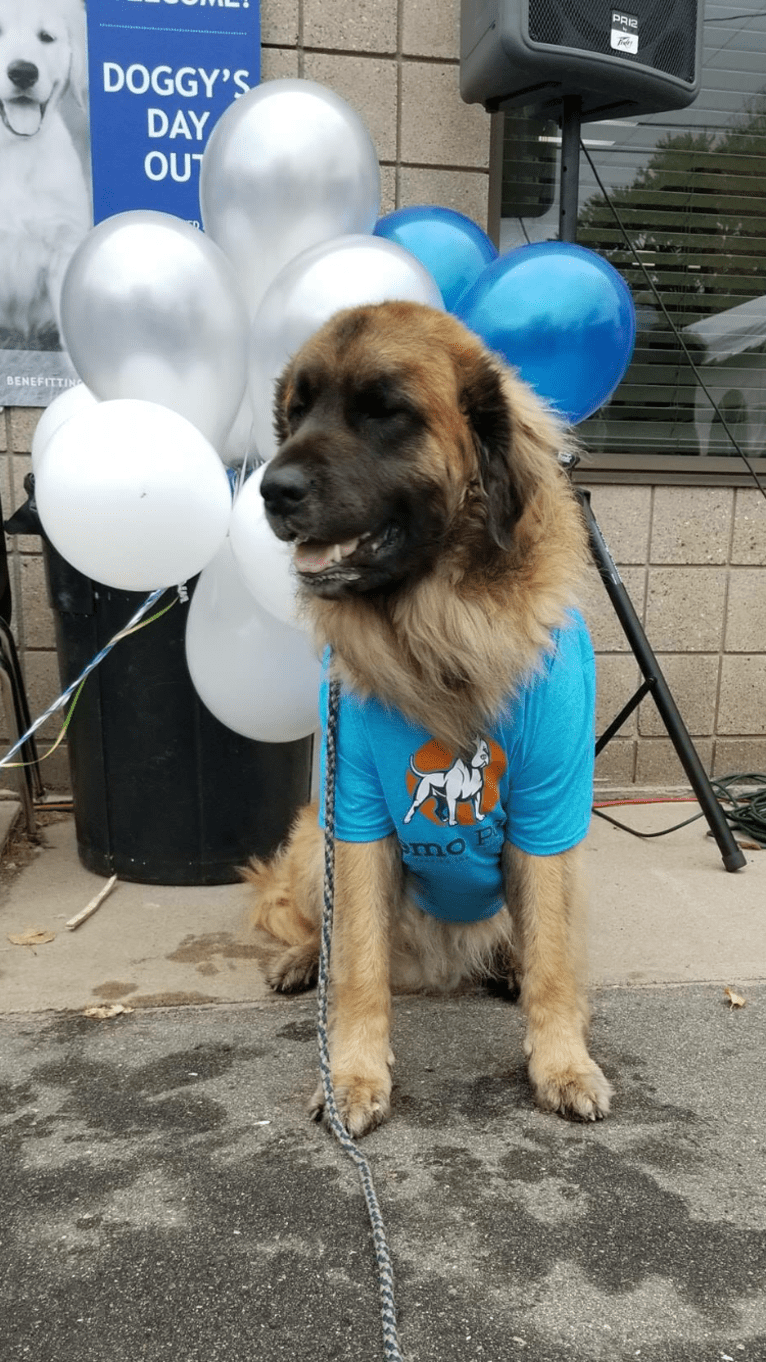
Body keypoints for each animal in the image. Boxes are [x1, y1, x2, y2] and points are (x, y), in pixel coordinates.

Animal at [248, 301, 610, 1138]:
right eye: (297, 413)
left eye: (385, 412)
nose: (272, 490)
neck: (440, 629)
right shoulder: (354, 814)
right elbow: (359, 964)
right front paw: (351, 1074)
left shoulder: (550, 812)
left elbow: (553, 960)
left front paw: (562, 1062)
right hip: (312, 839)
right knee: (318, 929)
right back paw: (302, 962)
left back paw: (507, 968)